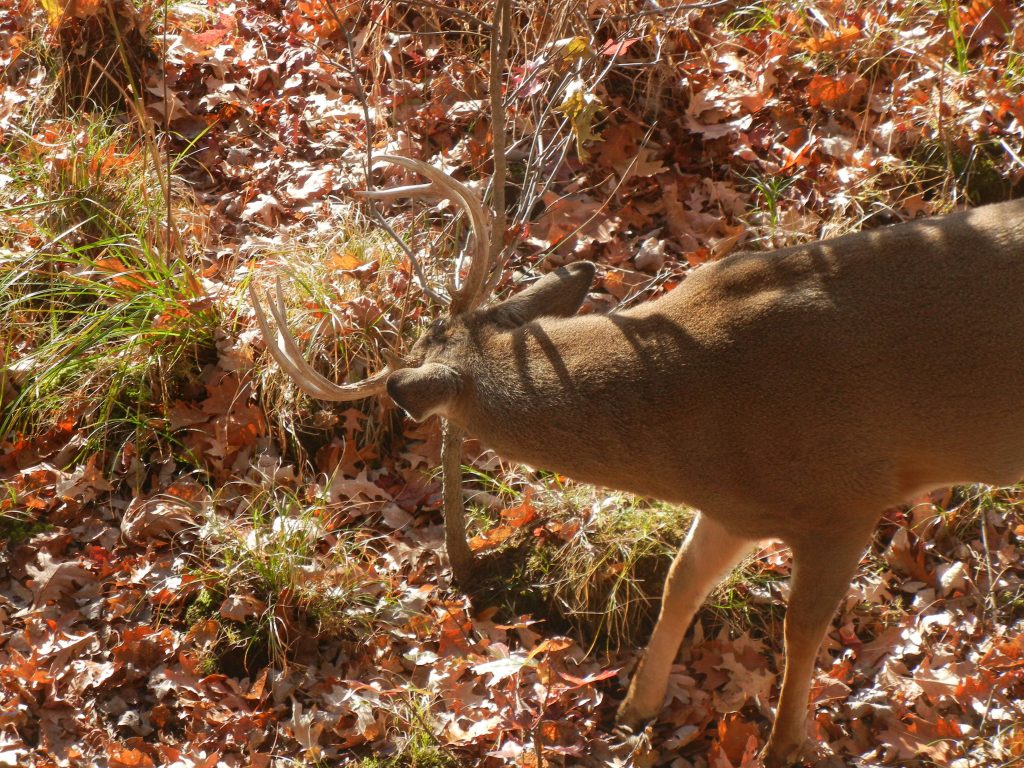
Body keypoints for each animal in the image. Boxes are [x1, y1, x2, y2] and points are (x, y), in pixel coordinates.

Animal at [251, 153, 1024, 765]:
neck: (707, 411)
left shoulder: (847, 500)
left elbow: (801, 627)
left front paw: (784, 746)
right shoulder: (735, 510)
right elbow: (681, 581)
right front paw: (635, 709)